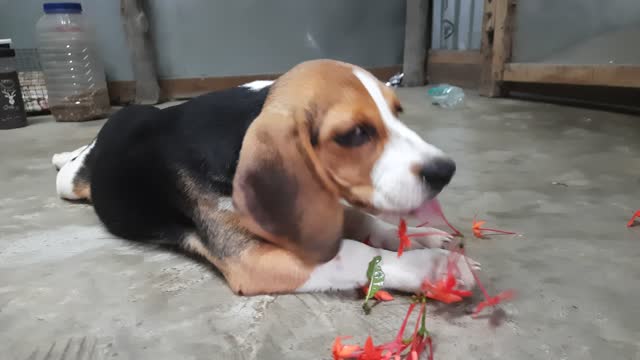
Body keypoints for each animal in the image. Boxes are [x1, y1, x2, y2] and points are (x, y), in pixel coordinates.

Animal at [53, 59, 476, 296]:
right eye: (355, 133)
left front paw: (420, 237)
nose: (446, 171)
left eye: (397, 112)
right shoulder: (253, 259)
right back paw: (60, 157)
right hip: (74, 183)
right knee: (71, 167)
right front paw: (435, 267)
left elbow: (366, 222)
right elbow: (355, 252)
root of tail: (123, 114)